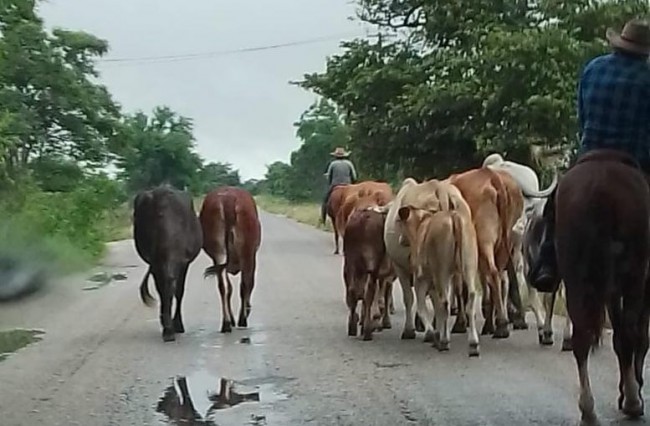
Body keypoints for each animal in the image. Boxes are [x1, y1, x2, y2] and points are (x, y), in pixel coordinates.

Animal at [200, 186, 260, 332]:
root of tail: (228, 198)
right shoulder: (252, 257)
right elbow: (248, 283)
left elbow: (229, 289)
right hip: (246, 251)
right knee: (245, 284)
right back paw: (242, 320)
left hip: (218, 252)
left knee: (223, 287)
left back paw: (226, 323)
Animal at [552, 149, 648, 422]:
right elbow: (638, 336)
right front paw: (631, 390)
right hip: (633, 275)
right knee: (629, 331)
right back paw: (632, 400)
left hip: (575, 278)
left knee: (582, 339)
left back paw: (588, 408)